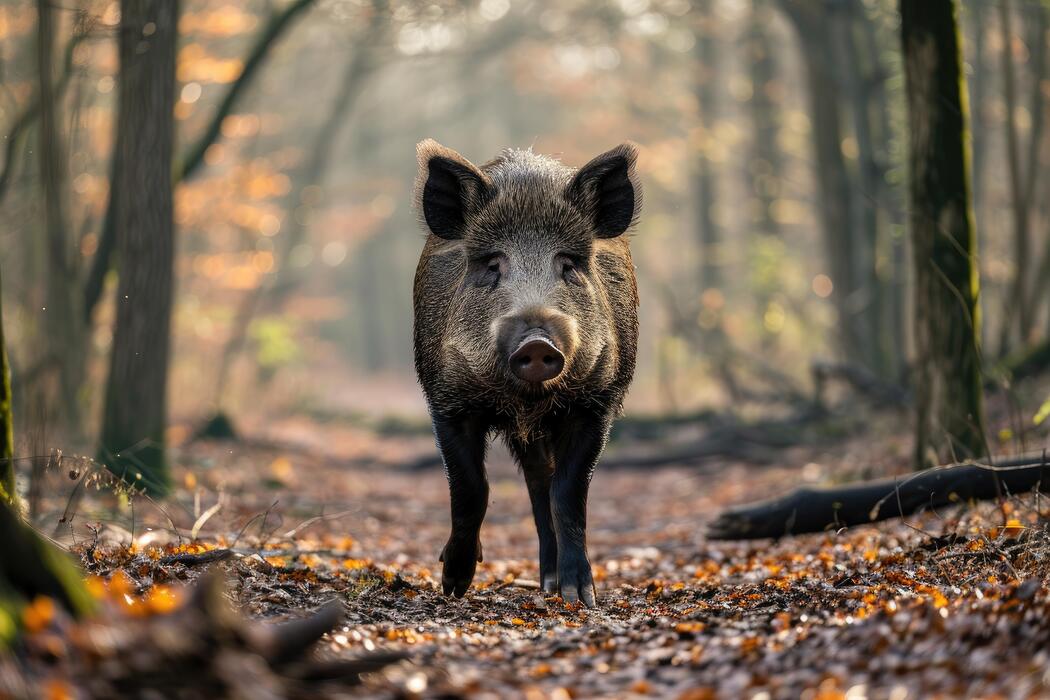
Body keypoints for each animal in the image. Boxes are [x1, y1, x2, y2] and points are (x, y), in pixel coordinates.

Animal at [412, 140, 641, 607]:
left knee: (543, 488)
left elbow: (568, 493)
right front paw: (452, 585)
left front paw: (580, 597)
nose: (537, 343)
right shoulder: (447, 399)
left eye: (568, 264)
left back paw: (551, 586)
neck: (523, 401)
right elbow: (470, 487)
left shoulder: (596, 403)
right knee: (534, 482)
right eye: (492, 265)